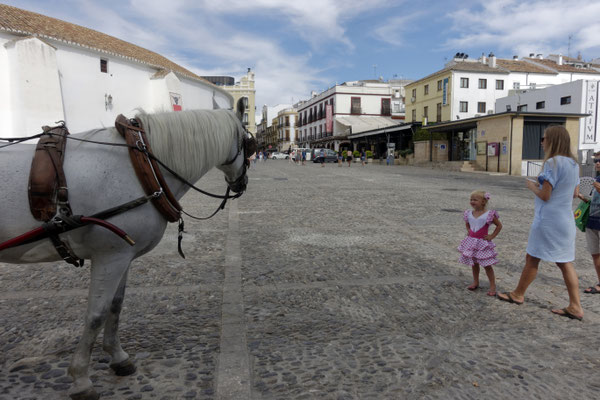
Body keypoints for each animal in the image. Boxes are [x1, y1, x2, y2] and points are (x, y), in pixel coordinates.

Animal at [0, 108, 252, 400]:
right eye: (249, 144)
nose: (242, 183)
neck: (142, 164)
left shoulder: (122, 255)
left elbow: (116, 305)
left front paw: (117, 357)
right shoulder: (110, 257)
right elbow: (96, 314)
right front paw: (81, 378)